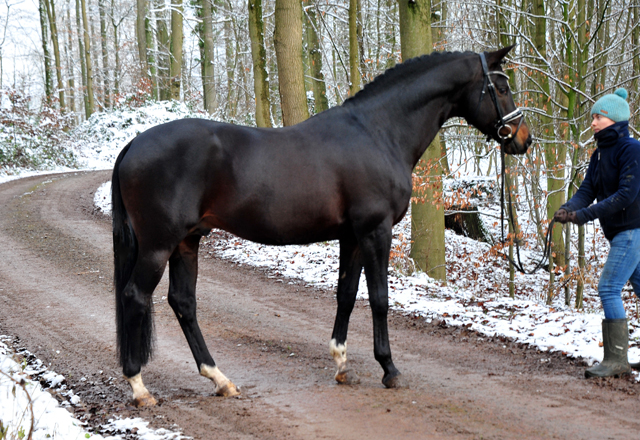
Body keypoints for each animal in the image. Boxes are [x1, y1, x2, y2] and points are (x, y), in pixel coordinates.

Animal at [111, 46, 528, 408]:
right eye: (501, 87)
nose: (523, 139)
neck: (378, 133)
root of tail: (133, 144)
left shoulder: (352, 237)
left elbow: (346, 294)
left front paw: (342, 364)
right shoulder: (376, 231)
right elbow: (379, 298)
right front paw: (389, 369)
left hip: (187, 241)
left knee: (183, 303)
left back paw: (220, 379)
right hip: (159, 244)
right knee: (135, 295)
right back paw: (139, 387)